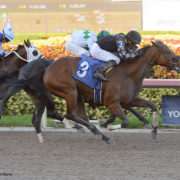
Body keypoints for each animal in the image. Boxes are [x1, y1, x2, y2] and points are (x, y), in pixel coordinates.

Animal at [43, 40, 180, 143]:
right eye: (167, 51)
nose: (177, 59)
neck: (128, 74)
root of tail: (49, 68)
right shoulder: (112, 103)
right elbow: (125, 121)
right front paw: (109, 126)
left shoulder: (129, 100)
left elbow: (152, 106)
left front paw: (154, 130)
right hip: (70, 92)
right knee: (71, 114)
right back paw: (99, 133)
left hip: (78, 96)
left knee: (80, 116)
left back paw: (96, 132)